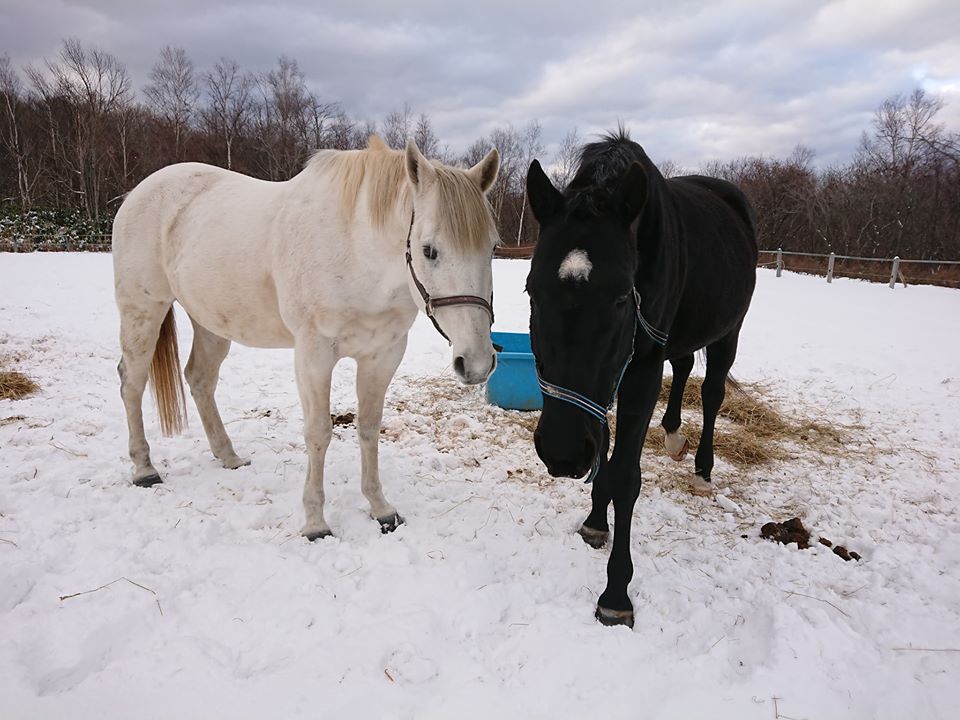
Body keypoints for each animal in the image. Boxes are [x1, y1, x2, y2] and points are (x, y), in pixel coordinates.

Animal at [112, 135, 498, 540]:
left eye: (492, 248)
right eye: (429, 250)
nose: (476, 363)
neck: (356, 252)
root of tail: (139, 192)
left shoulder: (383, 355)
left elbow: (369, 428)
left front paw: (381, 509)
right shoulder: (314, 356)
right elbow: (318, 433)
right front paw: (315, 523)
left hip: (211, 323)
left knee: (200, 379)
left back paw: (228, 456)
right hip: (143, 310)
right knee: (132, 382)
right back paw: (145, 469)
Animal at [524, 132, 756, 628]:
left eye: (617, 298)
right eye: (532, 290)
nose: (562, 453)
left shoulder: (641, 372)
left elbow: (626, 475)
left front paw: (615, 594)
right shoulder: (609, 378)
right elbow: (604, 454)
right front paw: (595, 522)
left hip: (729, 331)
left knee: (712, 392)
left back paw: (702, 470)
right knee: (684, 366)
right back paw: (672, 436)